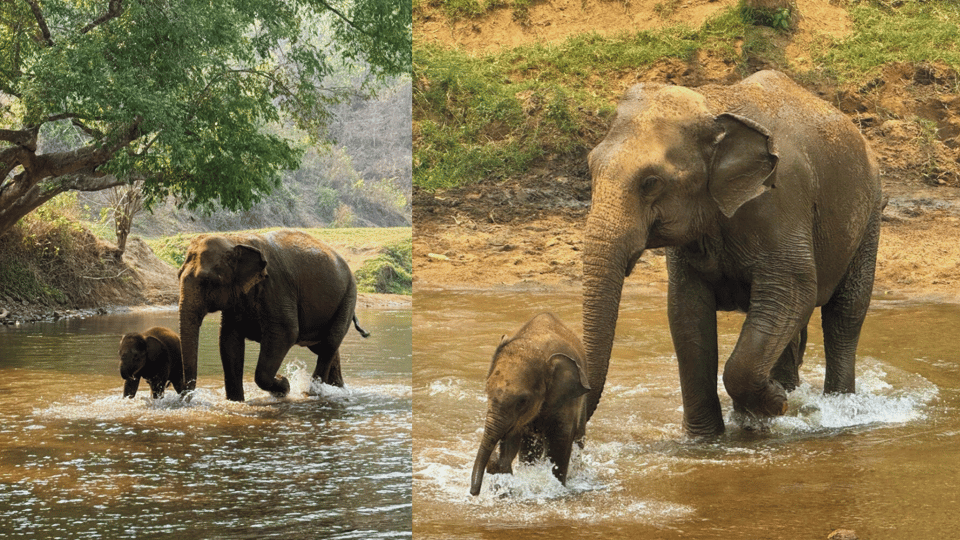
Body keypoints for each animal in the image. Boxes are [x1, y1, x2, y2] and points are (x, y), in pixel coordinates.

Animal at [178, 228, 370, 400]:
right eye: (178, 275)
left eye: (208, 281)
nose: (186, 395)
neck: (235, 239)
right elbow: (229, 340)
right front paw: (236, 401)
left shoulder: (276, 288)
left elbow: (285, 333)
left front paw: (283, 384)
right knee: (324, 347)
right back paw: (337, 390)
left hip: (348, 297)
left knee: (329, 343)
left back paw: (312, 393)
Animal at [468, 312, 588, 498]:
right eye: (487, 390)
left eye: (523, 401)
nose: (474, 492)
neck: (537, 345)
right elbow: (512, 438)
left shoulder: (566, 398)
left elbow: (560, 439)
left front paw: (558, 486)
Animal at [580, 69, 880, 436]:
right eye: (590, 168)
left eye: (650, 182)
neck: (714, 105)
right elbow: (687, 312)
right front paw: (707, 438)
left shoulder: (781, 199)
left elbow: (794, 289)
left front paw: (772, 404)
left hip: (870, 212)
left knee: (845, 313)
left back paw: (838, 409)